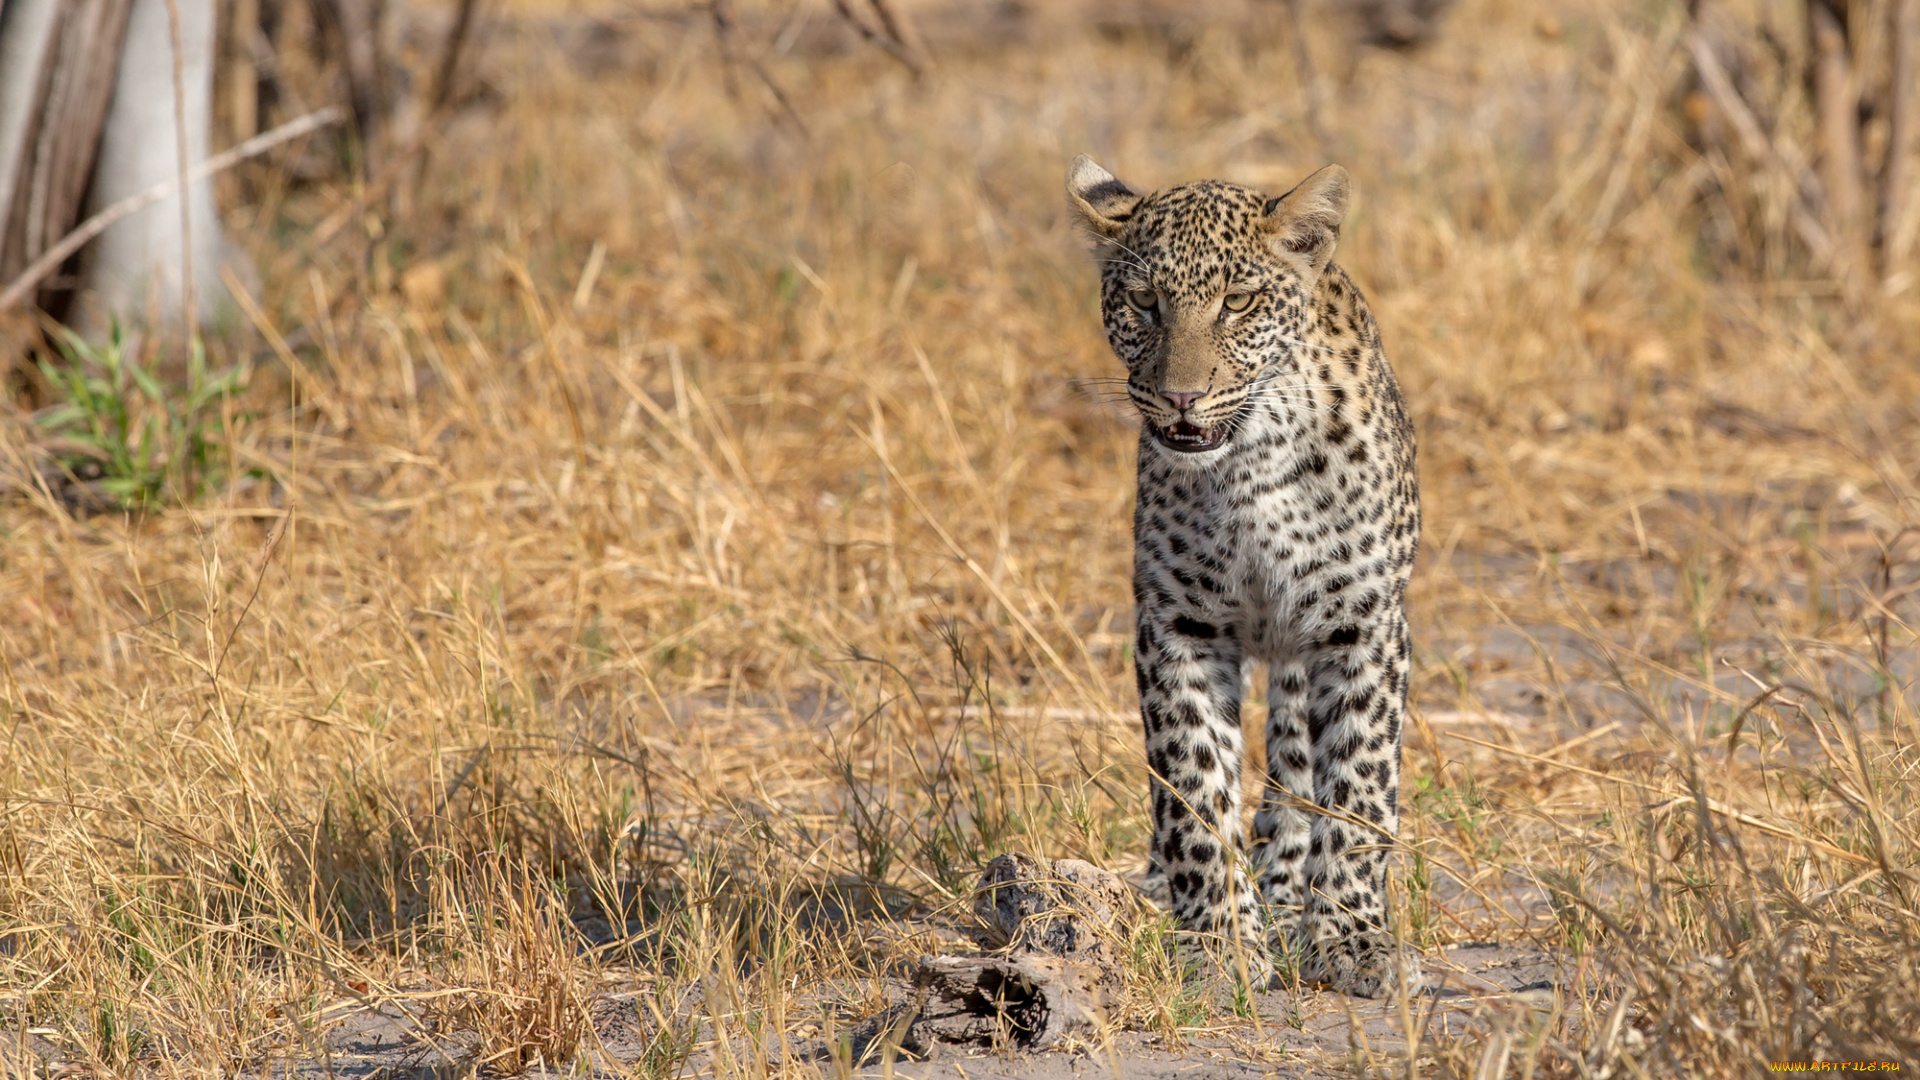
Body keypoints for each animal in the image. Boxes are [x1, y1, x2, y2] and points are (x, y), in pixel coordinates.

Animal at [1067, 155, 1428, 999]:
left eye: (1238, 302)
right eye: (1144, 301)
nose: (1181, 396)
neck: (1252, 464)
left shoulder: (1362, 625)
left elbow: (1359, 790)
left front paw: (1353, 940)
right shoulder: (1179, 627)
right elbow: (1195, 793)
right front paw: (1221, 943)